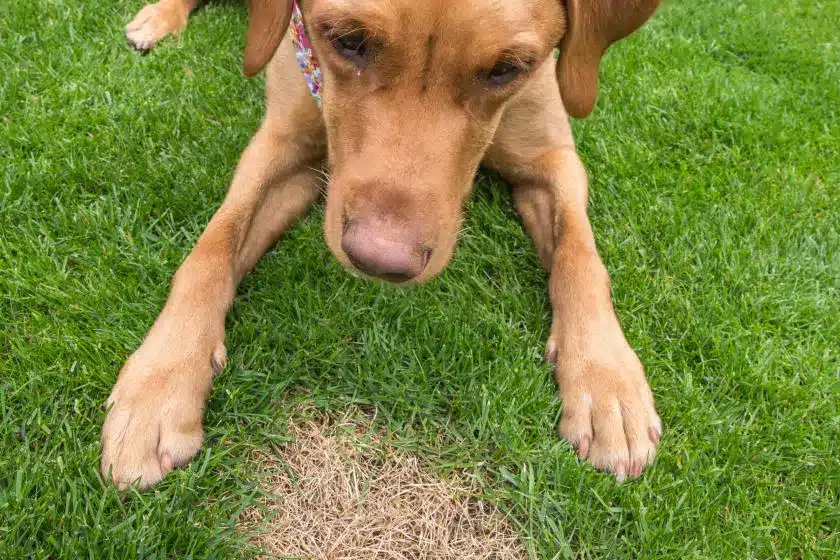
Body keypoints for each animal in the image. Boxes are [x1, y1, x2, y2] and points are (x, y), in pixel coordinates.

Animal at [103, 0, 664, 490]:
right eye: (347, 41)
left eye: (507, 69)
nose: (379, 261)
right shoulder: (280, 143)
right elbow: (212, 247)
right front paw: (159, 384)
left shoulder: (553, 159)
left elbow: (579, 257)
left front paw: (607, 381)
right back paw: (156, 20)